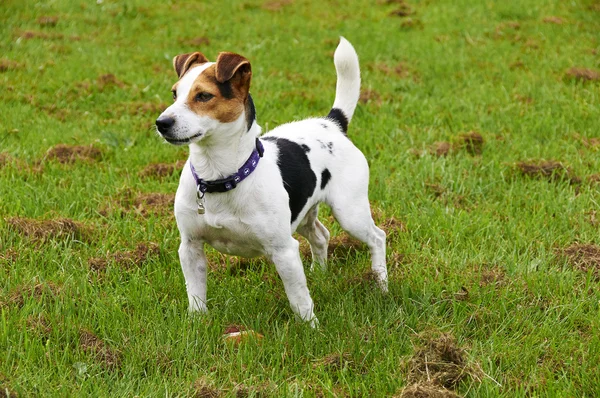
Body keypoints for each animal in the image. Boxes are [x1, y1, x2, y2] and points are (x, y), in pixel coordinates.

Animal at [156, 36, 390, 326]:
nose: (161, 122)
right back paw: (319, 273)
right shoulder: (190, 247)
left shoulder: (284, 250)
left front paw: (312, 329)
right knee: (321, 235)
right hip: (303, 213)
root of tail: (332, 124)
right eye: (174, 94)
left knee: (377, 237)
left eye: (203, 96)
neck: (219, 176)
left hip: (350, 212)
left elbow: (299, 299)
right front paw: (198, 324)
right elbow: (196, 294)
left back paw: (381, 283)